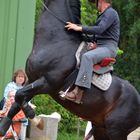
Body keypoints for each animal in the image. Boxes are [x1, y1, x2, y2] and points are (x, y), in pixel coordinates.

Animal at [0, 0, 139, 140]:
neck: (55, 41)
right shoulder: (32, 80)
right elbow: (17, 100)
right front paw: (4, 126)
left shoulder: (48, 83)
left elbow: (19, 95)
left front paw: (36, 120)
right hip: (100, 128)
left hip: (116, 130)